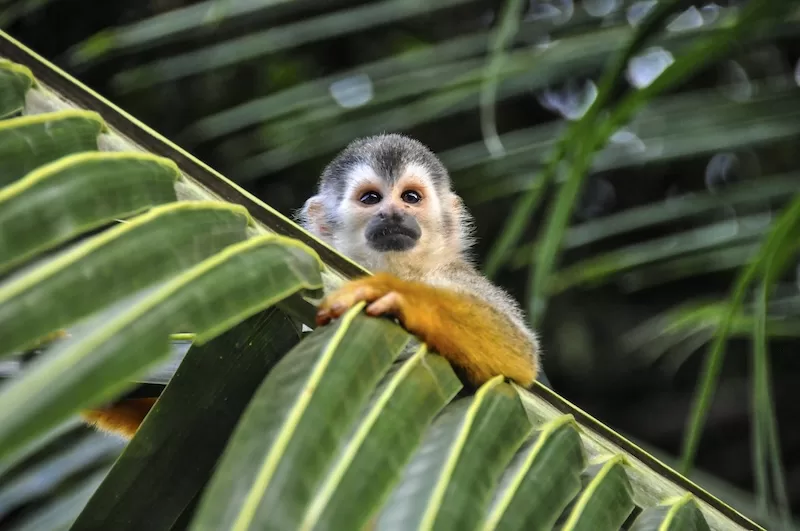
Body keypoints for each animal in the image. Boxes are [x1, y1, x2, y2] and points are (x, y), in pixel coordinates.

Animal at [82, 133, 541, 440]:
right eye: (372, 199)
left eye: (410, 197)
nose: (393, 214)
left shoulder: (454, 275)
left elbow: (519, 357)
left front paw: (398, 296)